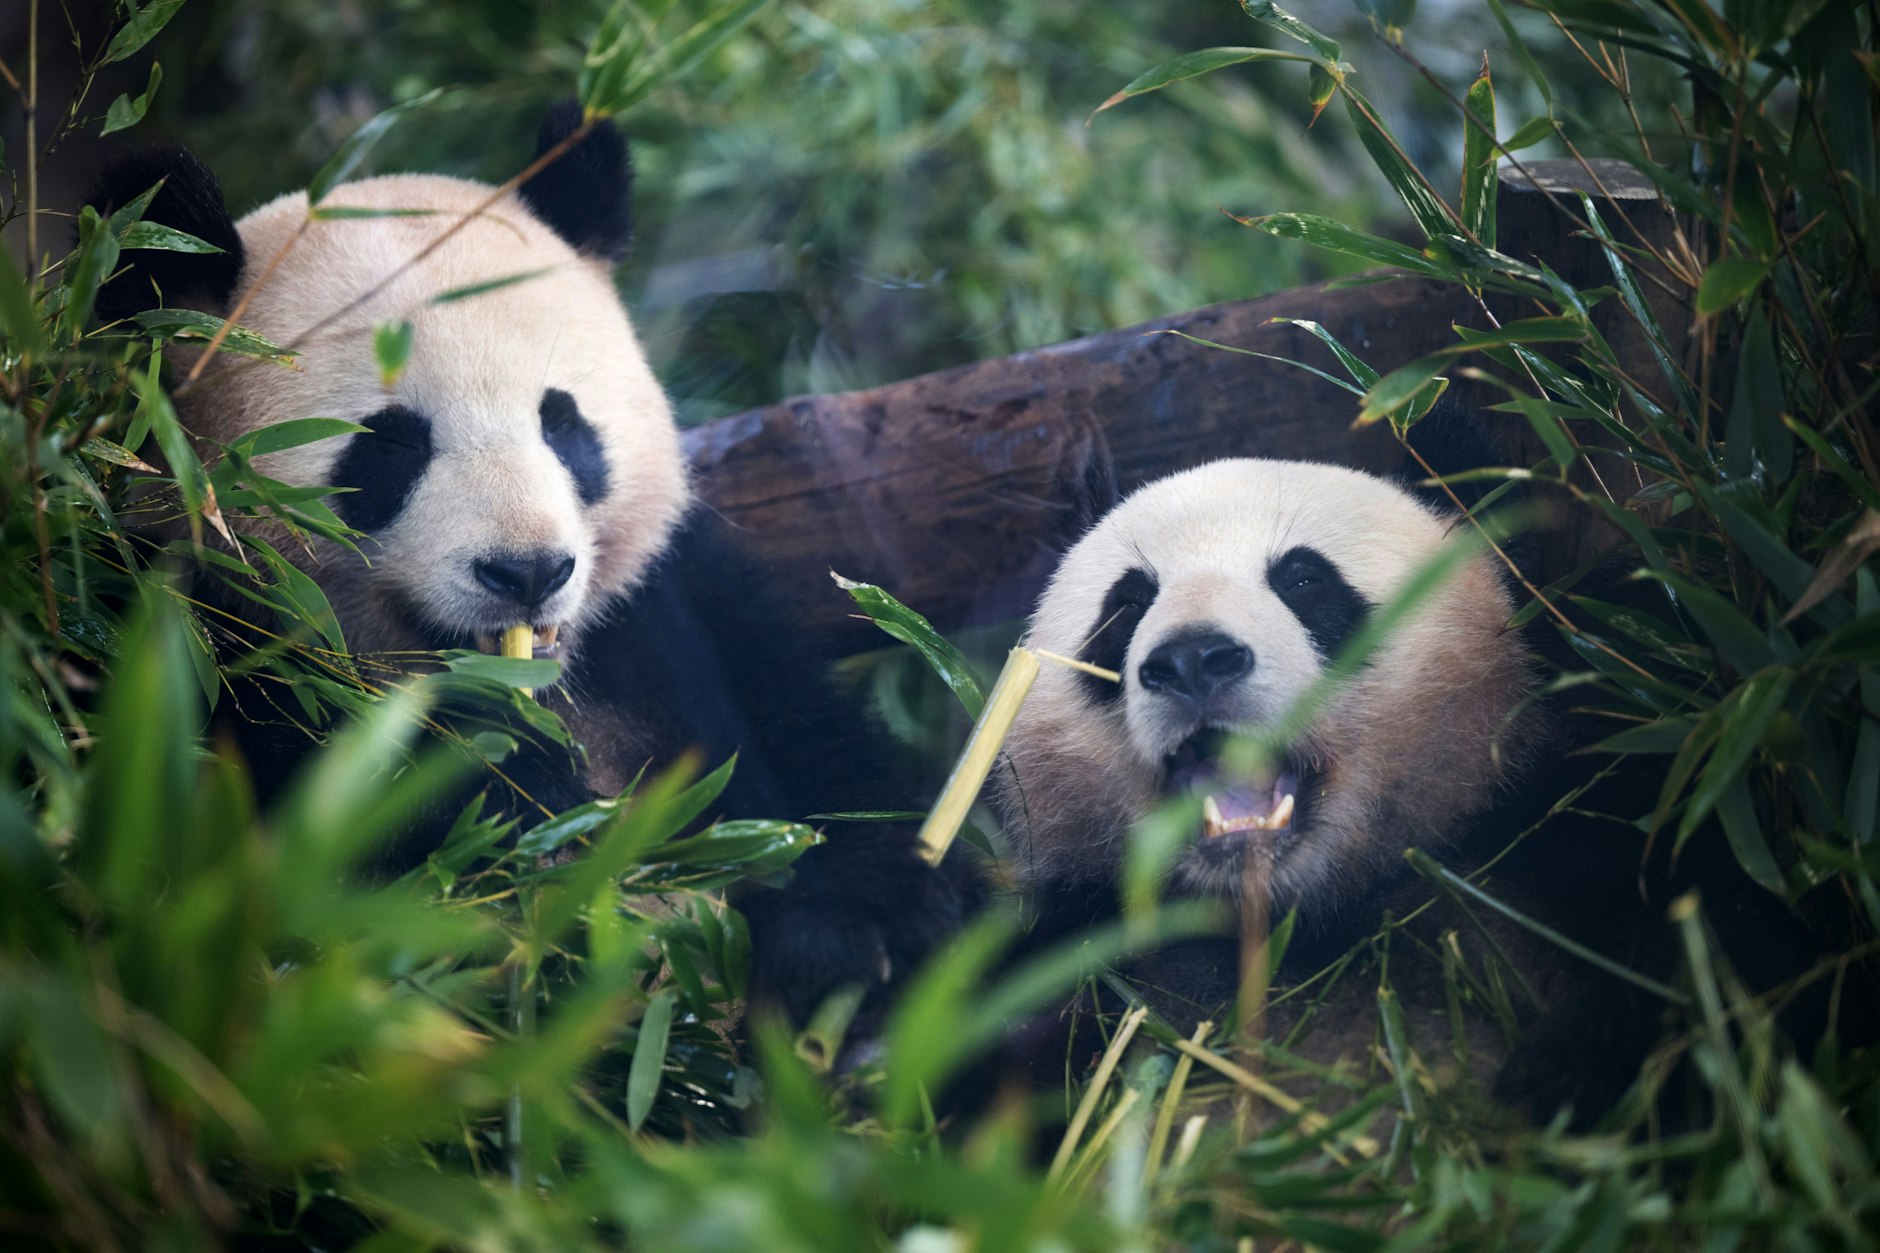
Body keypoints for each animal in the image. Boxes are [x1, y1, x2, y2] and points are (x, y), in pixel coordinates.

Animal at [92, 105, 903, 844]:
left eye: (562, 422)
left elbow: (833, 790)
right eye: (390, 446)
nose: (529, 571)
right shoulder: (193, 649)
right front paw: (517, 792)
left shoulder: (684, 616)